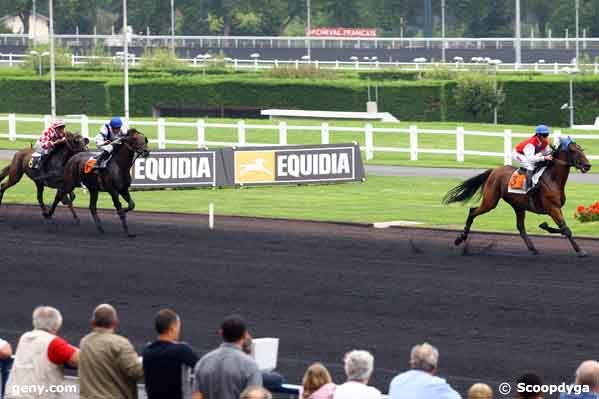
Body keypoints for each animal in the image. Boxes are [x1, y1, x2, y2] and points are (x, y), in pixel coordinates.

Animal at [442, 136, 592, 258]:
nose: (588, 165)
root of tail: (494, 170)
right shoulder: (552, 208)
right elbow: (566, 229)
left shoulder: (556, 208)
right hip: (491, 201)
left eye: (581, 149)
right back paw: (460, 238)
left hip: (518, 206)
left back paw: (532, 248)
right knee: (473, 211)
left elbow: (563, 228)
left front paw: (545, 226)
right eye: (573, 151)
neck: (552, 179)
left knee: (520, 227)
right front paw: (580, 251)